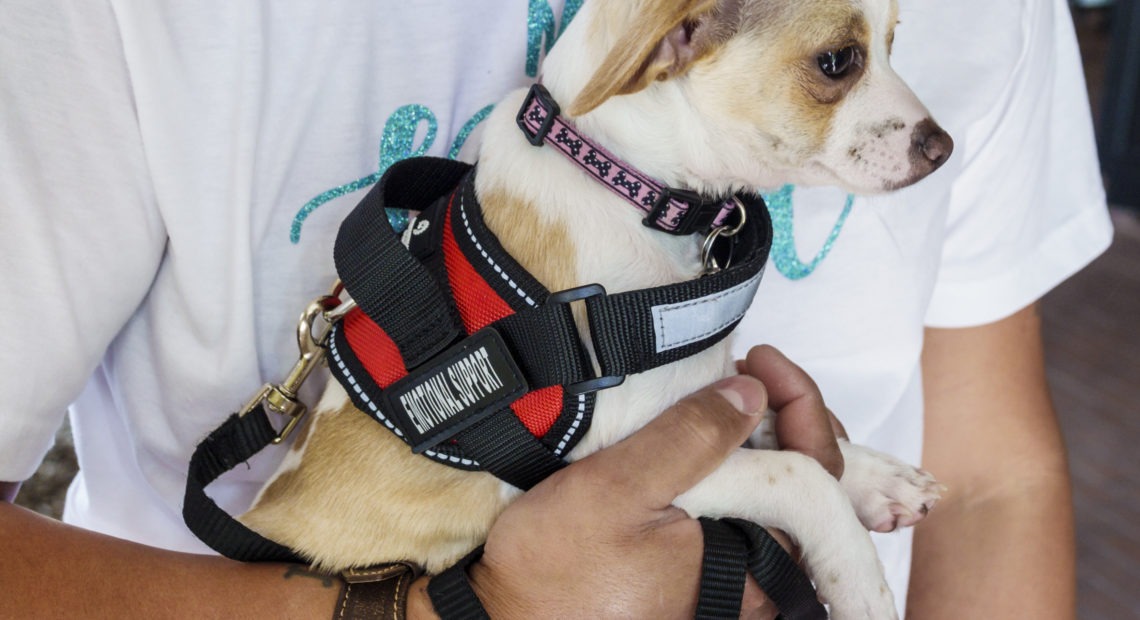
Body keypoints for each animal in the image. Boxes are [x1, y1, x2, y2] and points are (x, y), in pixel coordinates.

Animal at [242, 0, 953, 615]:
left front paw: (875, 477)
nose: (944, 148)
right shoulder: (621, 458)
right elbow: (801, 474)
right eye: (838, 61)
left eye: (892, 43)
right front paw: (862, 583)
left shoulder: (699, 386)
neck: (626, 186)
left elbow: (775, 425)